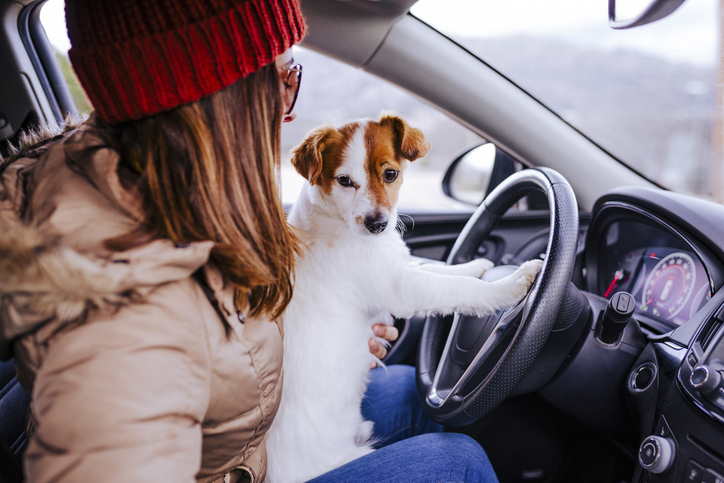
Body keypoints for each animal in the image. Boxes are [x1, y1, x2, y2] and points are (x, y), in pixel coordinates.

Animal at [268, 114, 544, 483]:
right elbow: (460, 289)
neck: (336, 222)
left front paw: (479, 264)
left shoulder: (402, 265)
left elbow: (445, 269)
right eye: (344, 180)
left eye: (390, 174)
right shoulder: (401, 286)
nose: (377, 224)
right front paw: (513, 282)